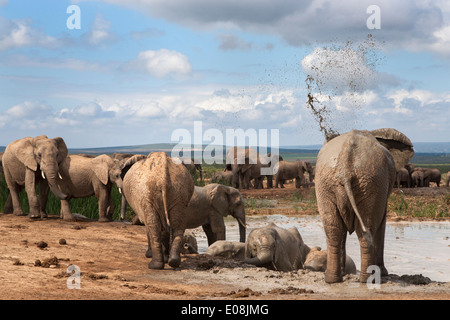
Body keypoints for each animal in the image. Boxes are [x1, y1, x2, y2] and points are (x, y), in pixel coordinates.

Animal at [312, 127, 414, 282]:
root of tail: (345, 162)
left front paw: (345, 272)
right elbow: (381, 222)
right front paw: (383, 273)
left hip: (326, 184)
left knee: (333, 229)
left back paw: (331, 279)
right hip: (370, 183)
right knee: (367, 228)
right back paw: (369, 279)